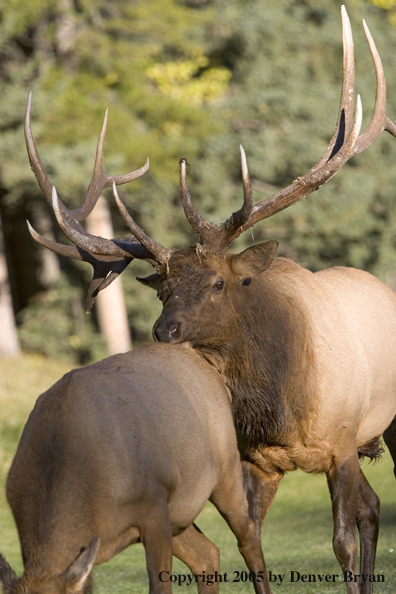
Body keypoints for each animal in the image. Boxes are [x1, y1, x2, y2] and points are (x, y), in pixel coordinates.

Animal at [0, 342, 270, 592]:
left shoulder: (153, 503)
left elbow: (160, 586)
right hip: (179, 513)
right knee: (208, 554)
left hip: (226, 469)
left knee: (248, 534)